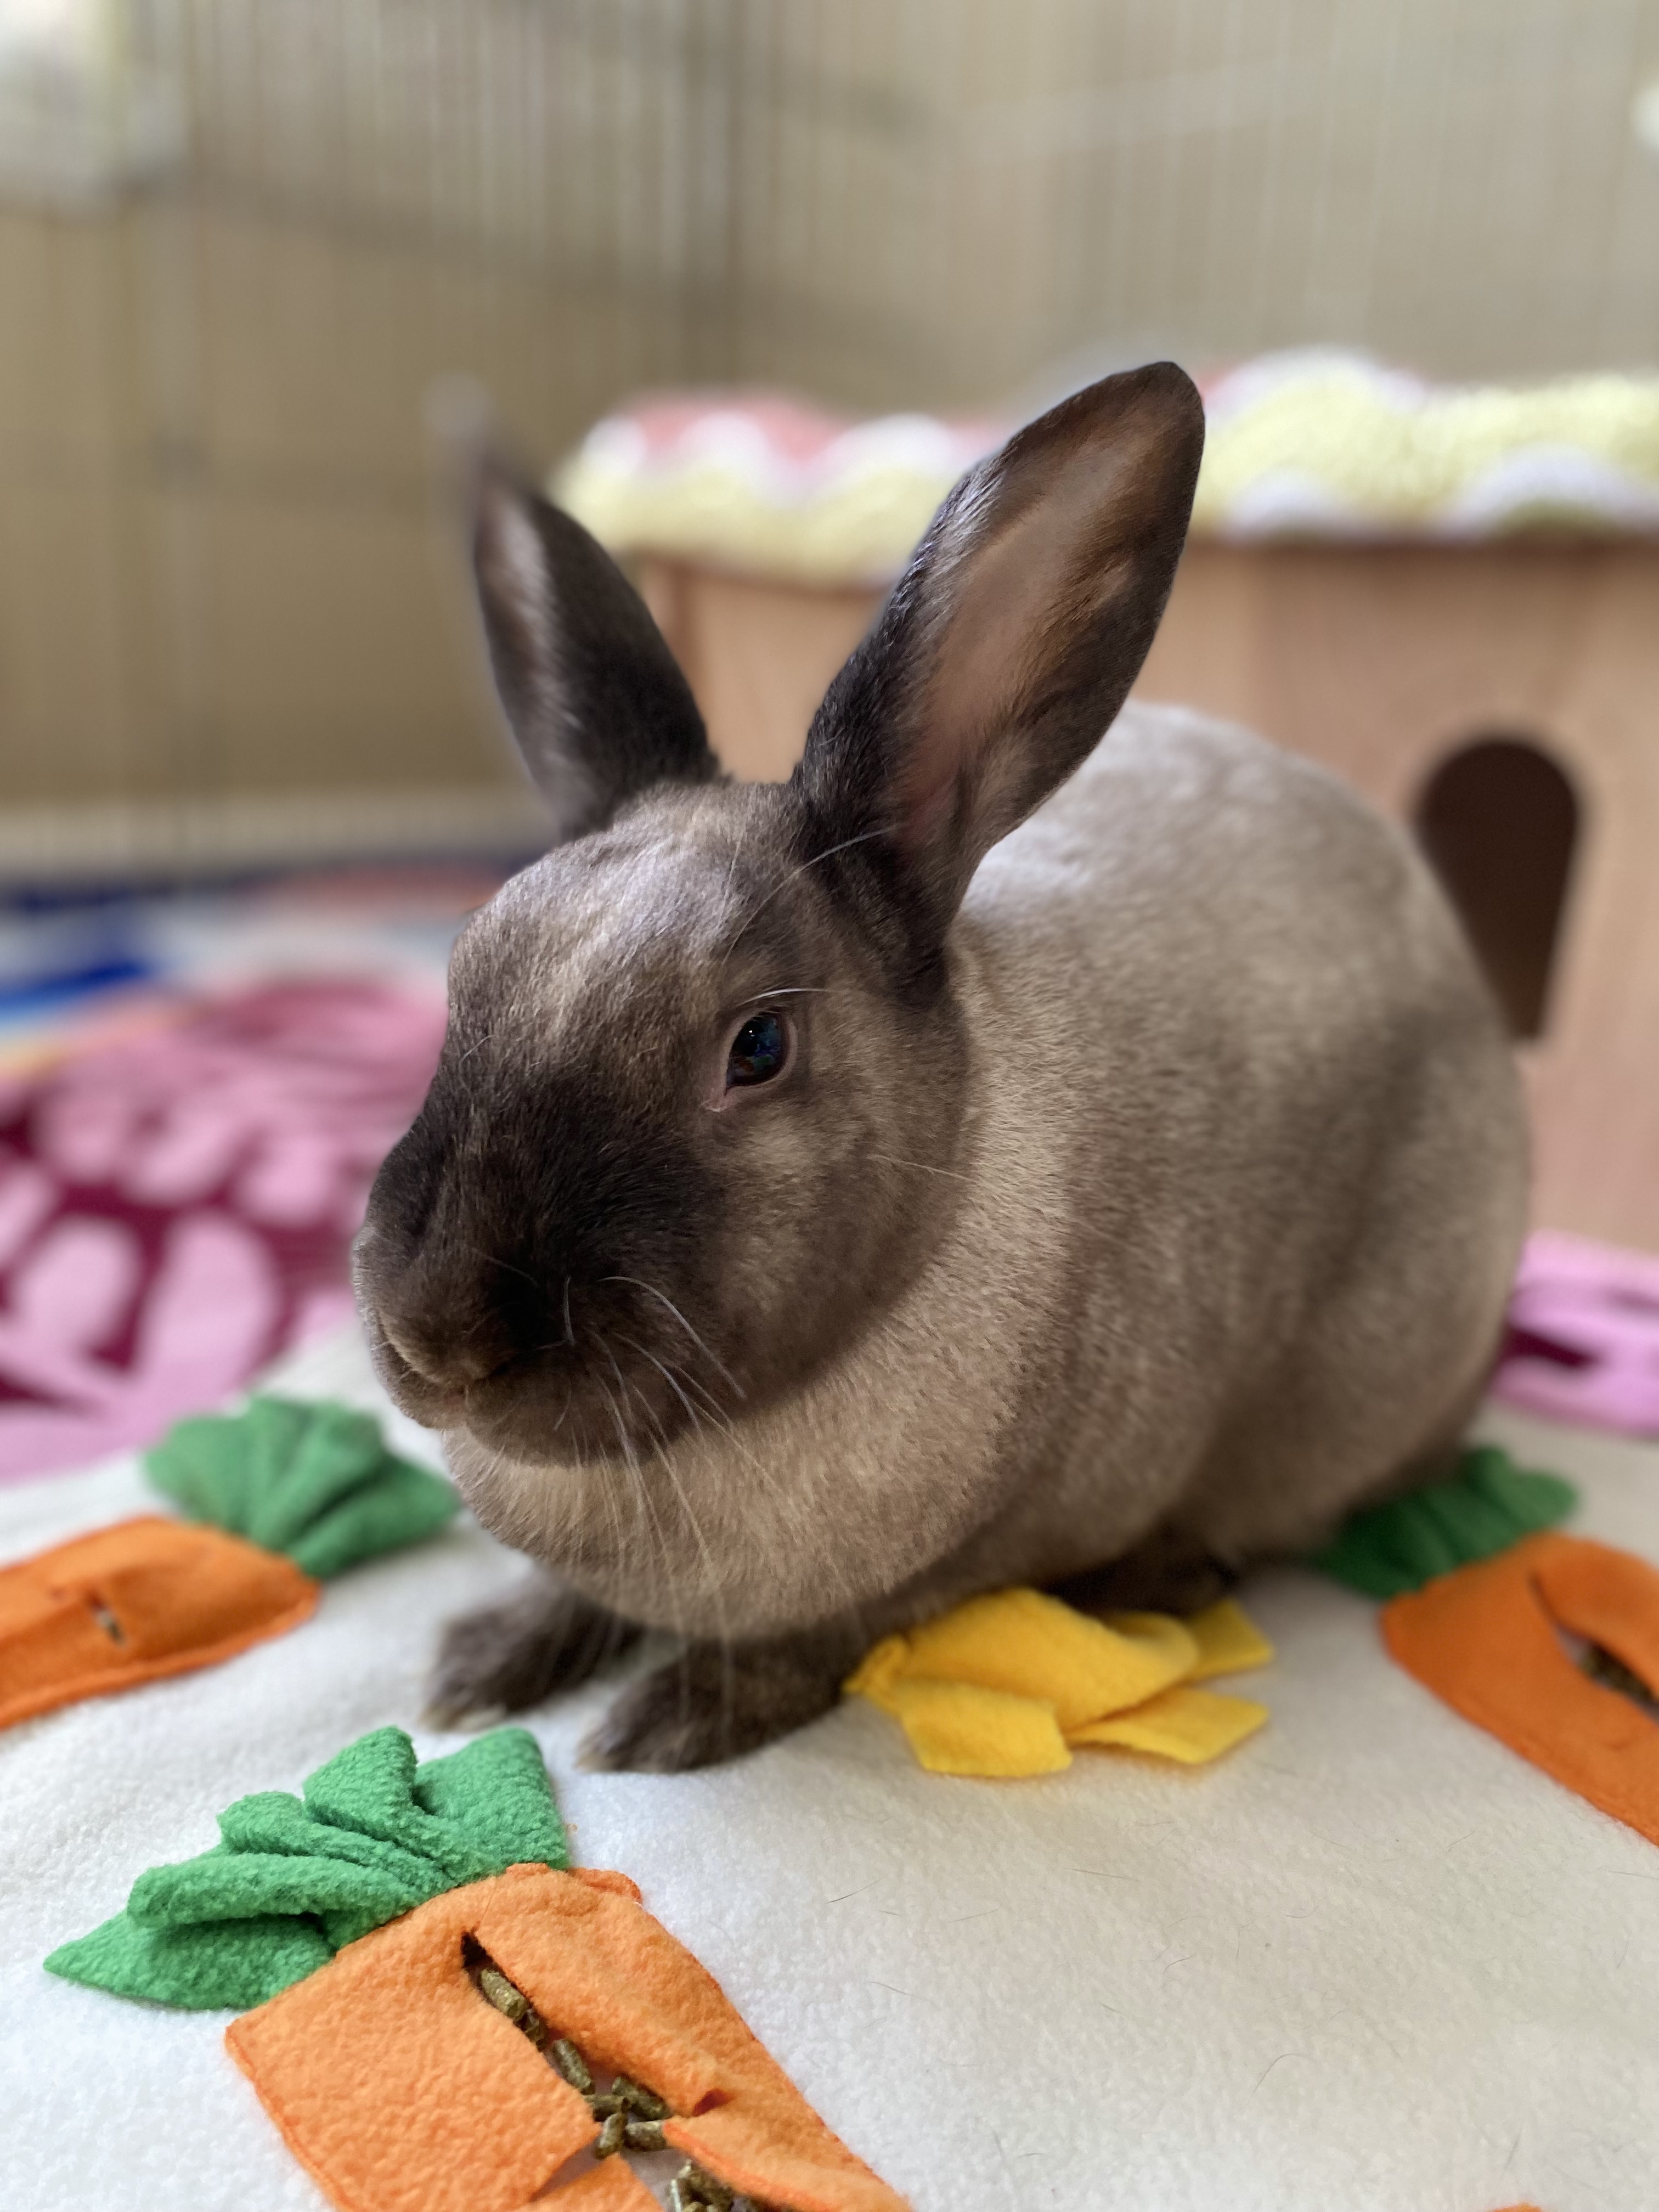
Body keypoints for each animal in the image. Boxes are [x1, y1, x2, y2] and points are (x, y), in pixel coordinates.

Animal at [353, 361, 1528, 1772]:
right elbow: (566, 1595)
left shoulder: (949, 1565)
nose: (439, 1335)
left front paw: (671, 1721)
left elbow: (823, 1639)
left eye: (758, 1047)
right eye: (468, 967)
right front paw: (482, 1666)